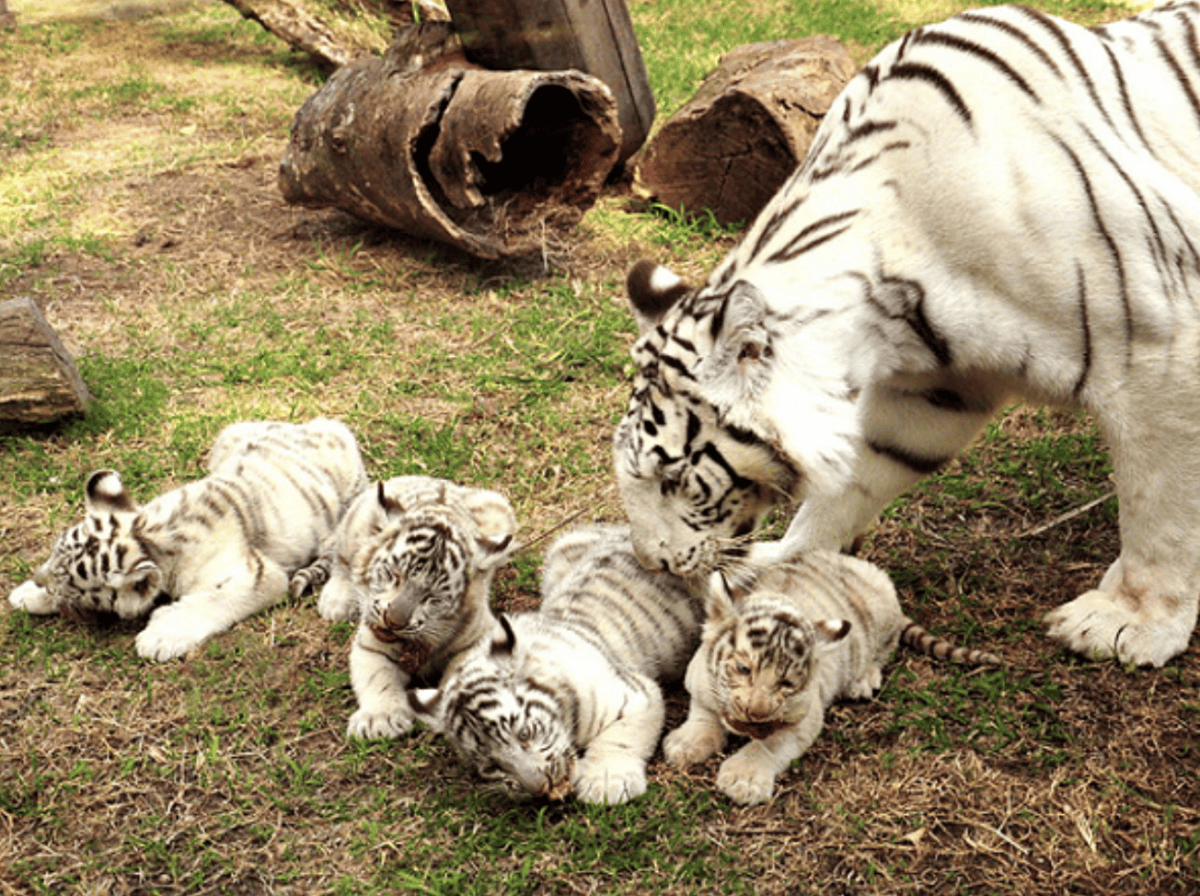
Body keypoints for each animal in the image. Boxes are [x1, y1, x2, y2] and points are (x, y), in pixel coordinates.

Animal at [7, 418, 368, 661]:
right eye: (54, 554)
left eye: (71, 588)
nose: (39, 581)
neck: (147, 533)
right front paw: (25, 594)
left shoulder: (258, 574)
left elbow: (217, 600)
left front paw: (159, 636)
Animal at [312, 475, 519, 740]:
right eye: (394, 575)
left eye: (432, 597)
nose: (393, 621)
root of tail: (437, 479)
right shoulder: (372, 641)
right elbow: (377, 677)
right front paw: (380, 720)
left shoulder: (480, 636)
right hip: (355, 523)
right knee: (342, 559)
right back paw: (336, 601)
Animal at [409, 523, 704, 805]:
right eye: (492, 765)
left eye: (524, 734)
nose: (538, 788)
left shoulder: (635, 694)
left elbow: (620, 737)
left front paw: (605, 782)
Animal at [612, 1, 1200, 668]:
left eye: (674, 479)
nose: (651, 563)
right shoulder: (938, 389)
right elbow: (850, 486)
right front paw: (781, 565)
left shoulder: (1160, 350)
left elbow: (1160, 507)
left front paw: (1130, 621)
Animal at [664, 550, 1000, 805]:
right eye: (744, 669)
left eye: (786, 684)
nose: (756, 713)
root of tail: (859, 564)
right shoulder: (700, 682)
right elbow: (704, 712)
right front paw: (685, 743)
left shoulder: (804, 721)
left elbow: (768, 745)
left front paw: (743, 778)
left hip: (881, 621)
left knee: (885, 648)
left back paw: (864, 680)